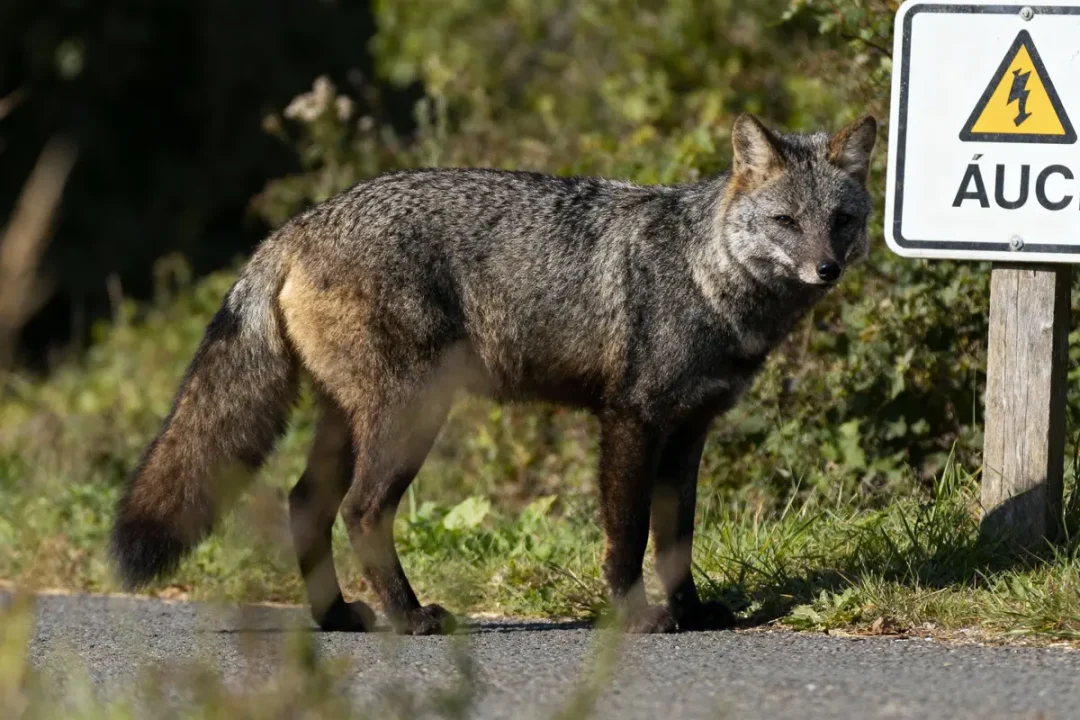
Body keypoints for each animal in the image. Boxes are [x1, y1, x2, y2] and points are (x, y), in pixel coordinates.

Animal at [111, 113, 877, 634]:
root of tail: (297, 225)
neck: (704, 273)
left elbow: (676, 540)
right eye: (785, 221)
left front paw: (691, 612)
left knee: (305, 505)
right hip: (411, 419)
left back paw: (337, 618)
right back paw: (410, 617)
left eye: (840, 220)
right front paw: (635, 616)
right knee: (361, 510)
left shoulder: (690, 433)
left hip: (353, 422)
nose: (826, 270)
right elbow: (629, 537)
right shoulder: (631, 420)